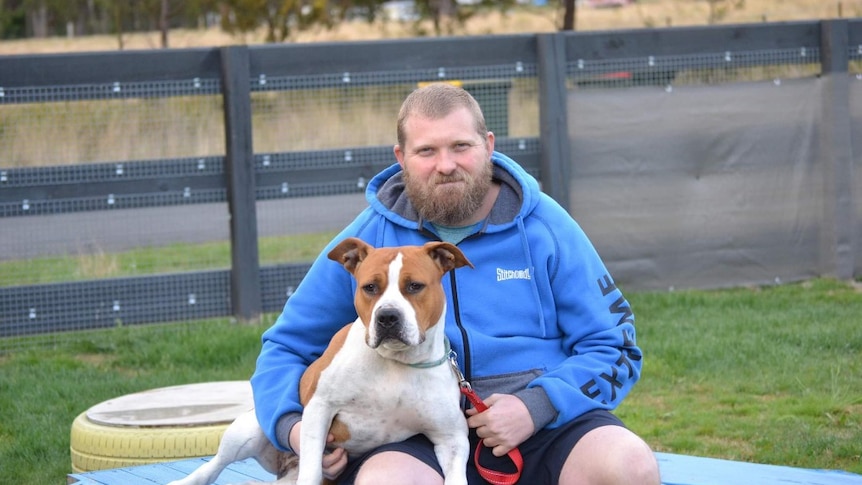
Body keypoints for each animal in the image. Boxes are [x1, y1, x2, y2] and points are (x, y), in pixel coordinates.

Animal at [170, 238, 472, 484]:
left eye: (414, 286)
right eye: (370, 287)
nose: (387, 316)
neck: (395, 363)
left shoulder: (452, 439)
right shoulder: (320, 408)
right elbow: (312, 469)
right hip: (249, 429)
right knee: (212, 467)